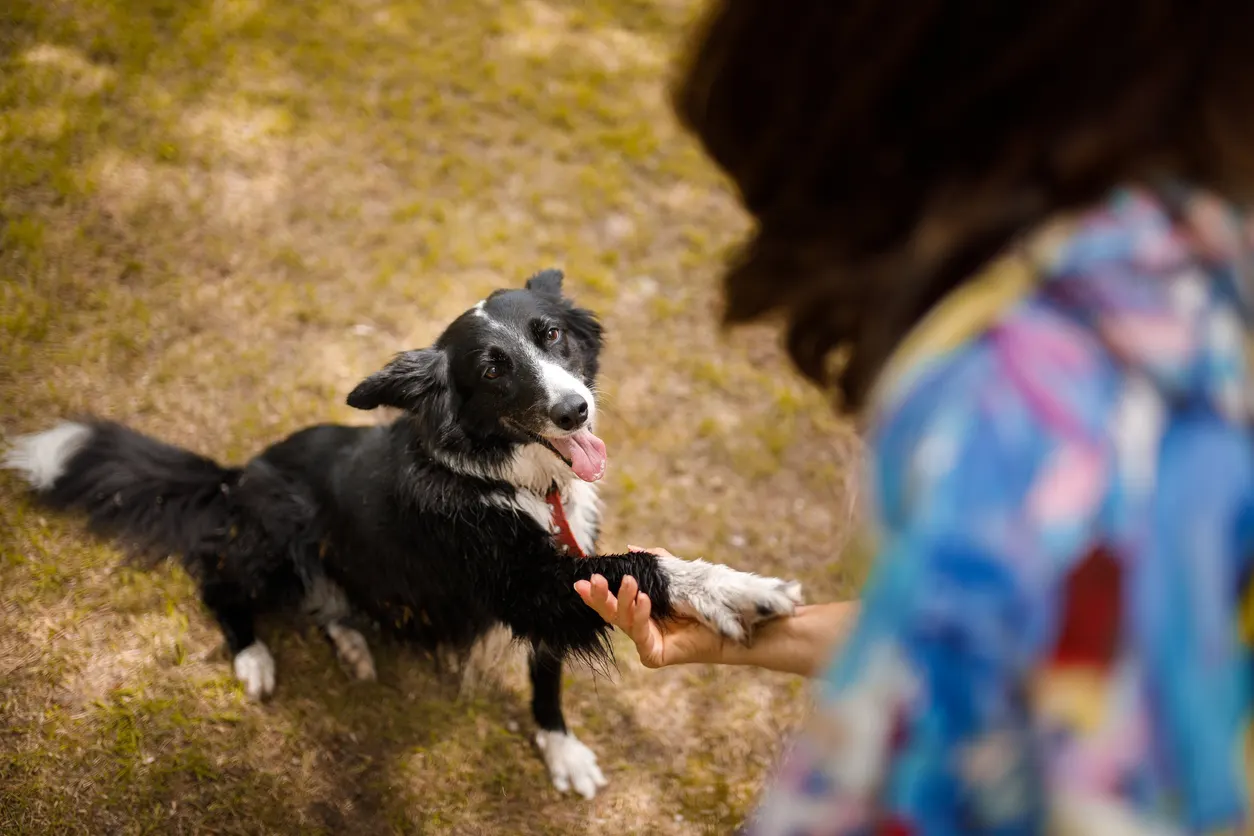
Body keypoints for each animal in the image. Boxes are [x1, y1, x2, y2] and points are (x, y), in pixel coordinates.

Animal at [2, 271, 802, 802]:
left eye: (552, 336)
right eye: (493, 370)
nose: (575, 410)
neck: (515, 481)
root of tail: (238, 474)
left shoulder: (556, 580)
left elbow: (547, 679)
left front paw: (562, 751)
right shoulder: (529, 584)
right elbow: (646, 563)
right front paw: (739, 590)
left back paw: (351, 639)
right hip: (277, 533)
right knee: (217, 578)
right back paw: (254, 655)